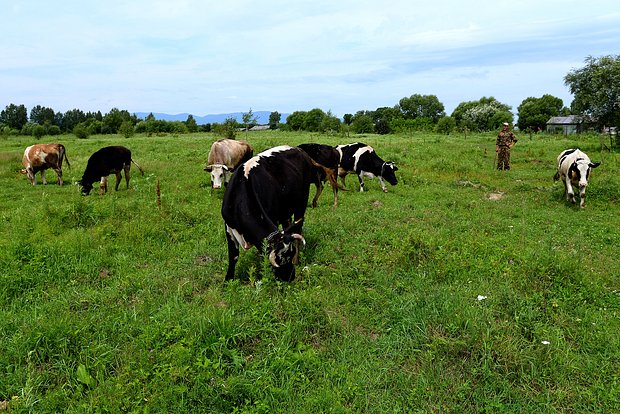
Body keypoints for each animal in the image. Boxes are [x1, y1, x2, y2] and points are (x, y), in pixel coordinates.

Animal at [220, 146, 322, 282]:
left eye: (291, 253)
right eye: (281, 259)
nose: (290, 277)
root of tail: (299, 150)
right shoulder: (228, 226)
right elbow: (233, 256)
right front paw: (228, 280)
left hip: (302, 203)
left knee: (298, 227)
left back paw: (297, 261)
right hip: (285, 211)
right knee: (288, 225)